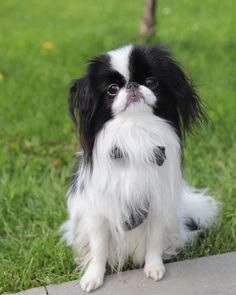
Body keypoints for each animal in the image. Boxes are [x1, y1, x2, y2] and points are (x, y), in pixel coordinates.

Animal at [61, 44, 219, 294]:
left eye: (152, 81)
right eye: (112, 90)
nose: (133, 85)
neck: (135, 135)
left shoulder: (156, 205)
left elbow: (153, 240)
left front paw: (154, 267)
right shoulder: (99, 211)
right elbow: (99, 248)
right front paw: (93, 277)